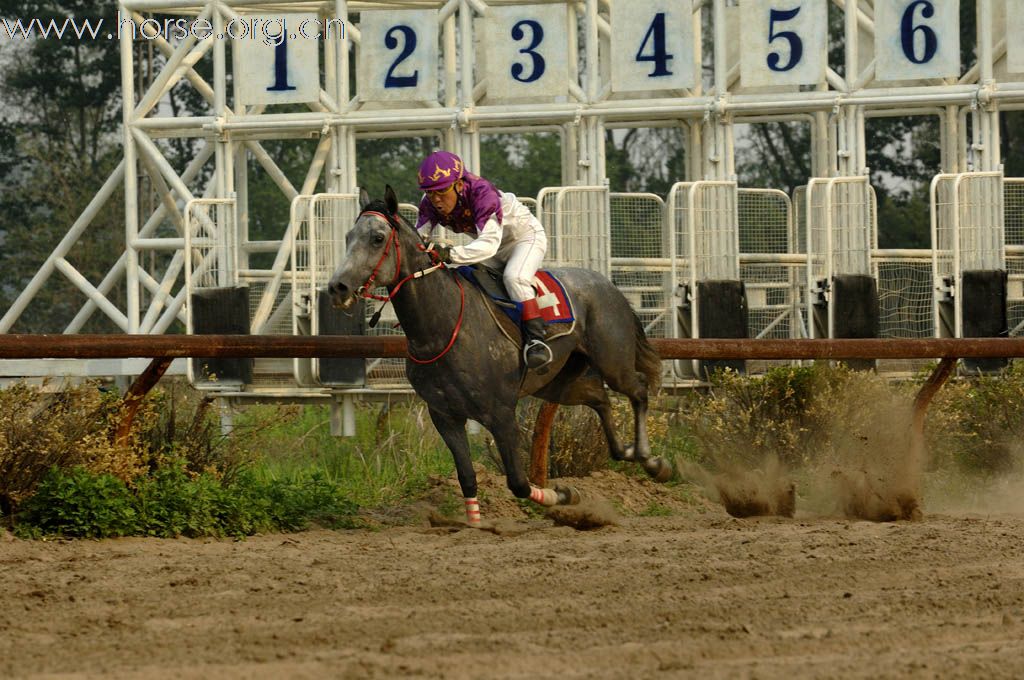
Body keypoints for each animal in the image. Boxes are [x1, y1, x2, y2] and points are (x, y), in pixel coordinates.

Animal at [323, 186, 667, 524]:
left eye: (377, 238)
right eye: (348, 236)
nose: (337, 288)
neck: (441, 328)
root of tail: (609, 286)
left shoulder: (501, 415)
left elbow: (518, 482)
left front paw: (564, 494)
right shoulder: (445, 416)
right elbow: (467, 478)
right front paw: (477, 523)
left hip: (612, 361)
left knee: (637, 389)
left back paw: (651, 461)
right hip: (558, 385)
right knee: (600, 398)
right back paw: (627, 453)